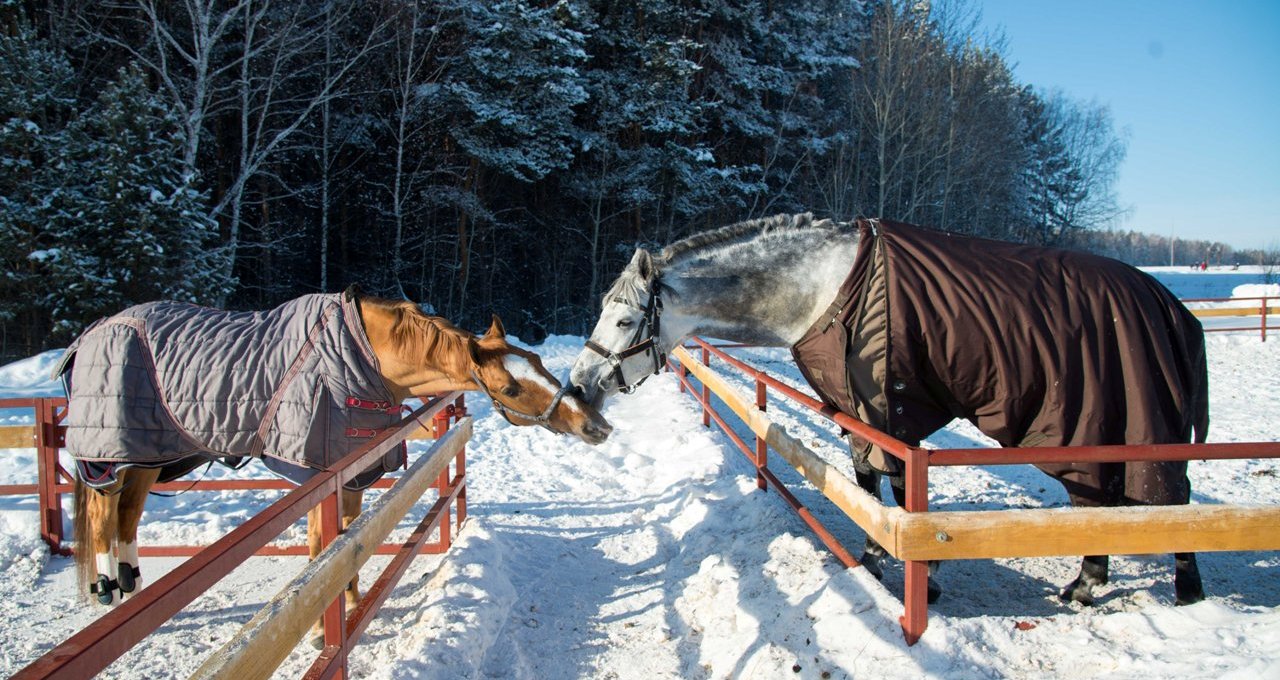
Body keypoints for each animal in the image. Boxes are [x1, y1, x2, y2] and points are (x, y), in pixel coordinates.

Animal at [570, 212, 1208, 607]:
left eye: (623, 320)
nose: (578, 386)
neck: (824, 290)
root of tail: (1172, 307)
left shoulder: (888, 411)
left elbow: (896, 491)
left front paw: (904, 569)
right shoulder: (856, 410)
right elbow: (870, 484)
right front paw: (885, 563)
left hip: (1120, 431)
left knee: (1167, 500)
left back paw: (1173, 589)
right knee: (1110, 500)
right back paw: (1096, 583)